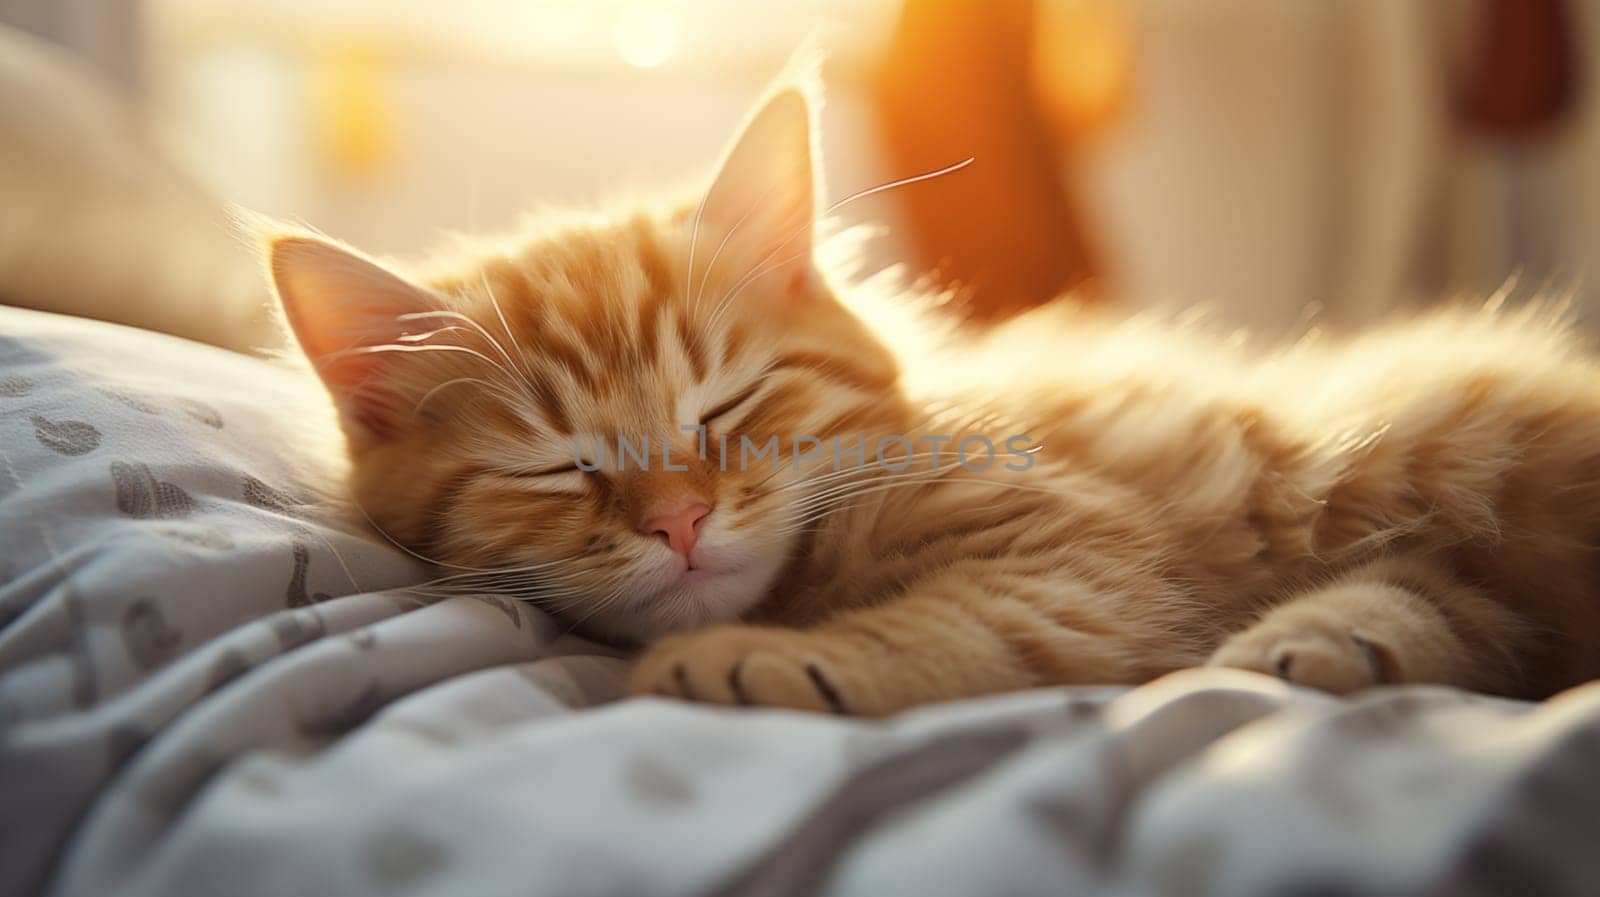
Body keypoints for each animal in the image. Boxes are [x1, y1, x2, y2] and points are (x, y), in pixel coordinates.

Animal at [268, 75, 1600, 713]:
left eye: (725, 407)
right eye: (560, 467)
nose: (682, 523)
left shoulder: (1077, 559)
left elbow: (950, 628)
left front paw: (752, 663)